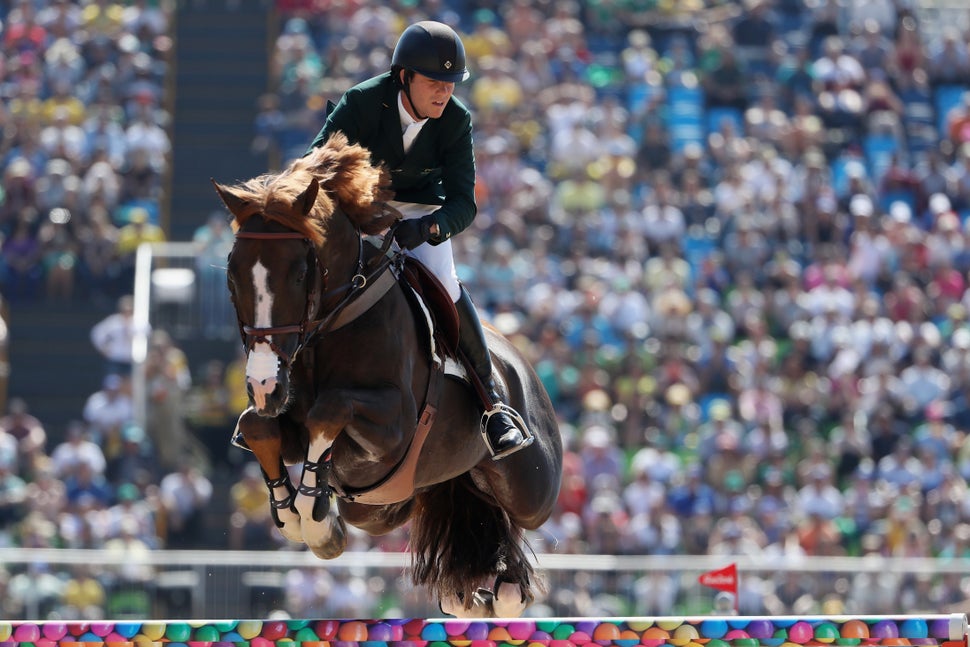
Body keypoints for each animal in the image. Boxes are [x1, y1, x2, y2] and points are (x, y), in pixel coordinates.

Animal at [212, 133, 563, 617]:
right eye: (232, 275)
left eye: (299, 274)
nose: (264, 385)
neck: (330, 325)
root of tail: (519, 362)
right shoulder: (286, 422)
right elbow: (256, 425)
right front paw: (294, 513)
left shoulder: (393, 427)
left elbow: (330, 409)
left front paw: (314, 516)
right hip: (381, 506)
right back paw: (475, 592)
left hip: (531, 488)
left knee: (519, 511)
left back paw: (507, 583)